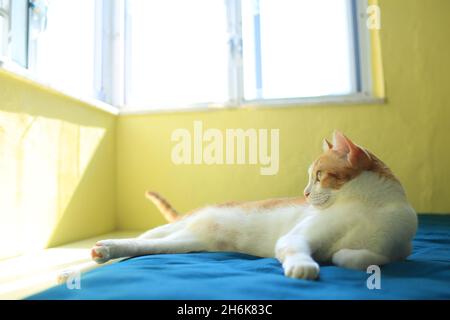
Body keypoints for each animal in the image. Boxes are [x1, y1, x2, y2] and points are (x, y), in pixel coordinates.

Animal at [91, 131, 418, 278]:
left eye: (319, 176)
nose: (305, 193)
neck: (367, 206)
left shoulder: (399, 249)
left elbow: (369, 258)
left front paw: (341, 256)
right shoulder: (297, 236)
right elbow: (297, 249)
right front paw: (303, 267)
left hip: (185, 242)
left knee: (143, 246)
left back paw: (106, 251)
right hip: (173, 229)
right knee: (143, 237)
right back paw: (99, 251)